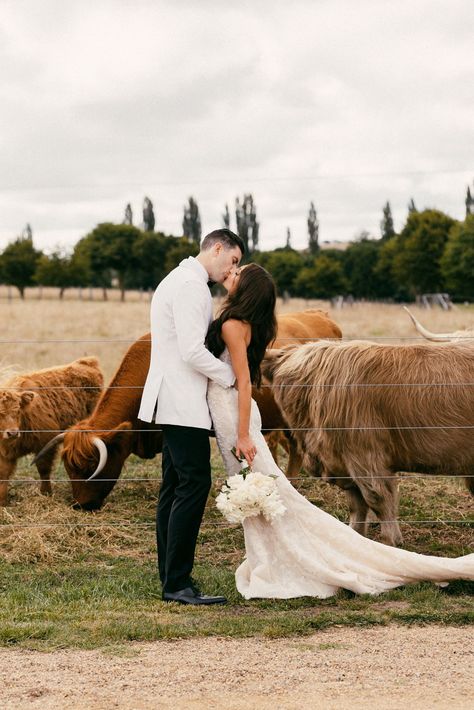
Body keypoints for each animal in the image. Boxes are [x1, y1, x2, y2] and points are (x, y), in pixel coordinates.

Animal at [0, 362, 103, 506]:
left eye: (18, 411)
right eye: (0, 413)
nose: (13, 433)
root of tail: (86, 362)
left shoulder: (45, 443)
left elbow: (43, 469)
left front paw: (46, 493)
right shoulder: (4, 453)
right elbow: (3, 475)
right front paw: (3, 501)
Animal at [262, 342, 474, 548]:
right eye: (283, 380)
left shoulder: (365, 458)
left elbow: (378, 500)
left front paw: (391, 542)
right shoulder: (346, 465)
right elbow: (357, 506)